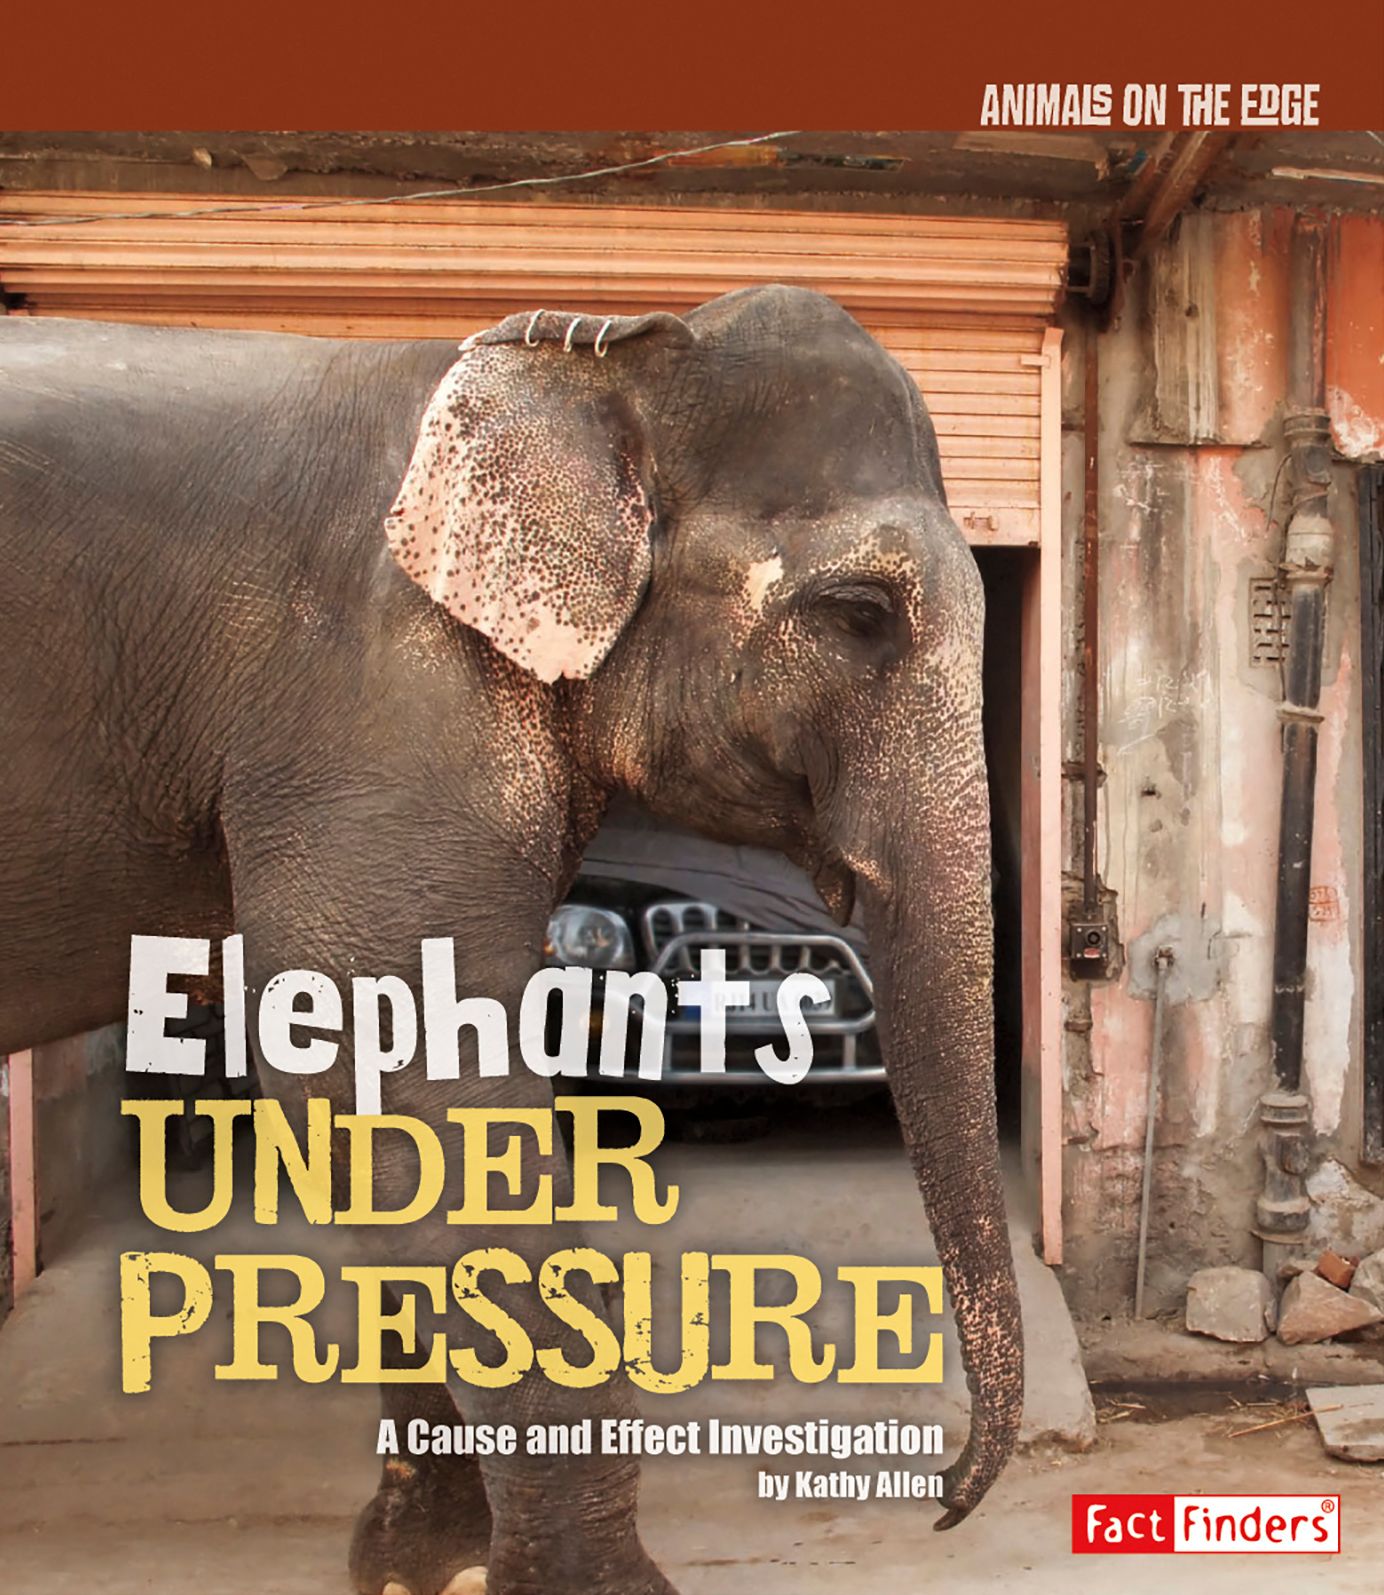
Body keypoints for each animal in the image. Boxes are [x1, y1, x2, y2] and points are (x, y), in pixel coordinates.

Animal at [0, 284, 1021, 1595]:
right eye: (862, 615)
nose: (942, 1500)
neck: (597, 359)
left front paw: (418, 1568)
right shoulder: (380, 698)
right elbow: (407, 1072)